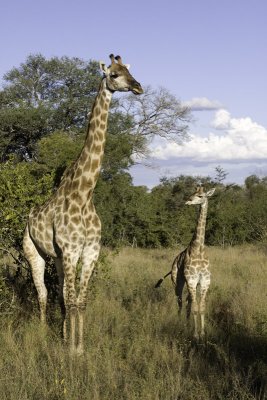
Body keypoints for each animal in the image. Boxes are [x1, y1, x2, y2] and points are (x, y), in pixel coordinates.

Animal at [23, 53, 144, 354]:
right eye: (114, 74)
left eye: (130, 71)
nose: (138, 87)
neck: (85, 192)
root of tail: (29, 215)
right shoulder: (71, 249)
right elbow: (72, 299)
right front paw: (73, 352)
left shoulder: (90, 250)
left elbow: (80, 300)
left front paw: (78, 346)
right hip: (33, 251)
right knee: (43, 293)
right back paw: (42, 334)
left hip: (56, 257)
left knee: (61, 296)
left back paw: (62, 335)